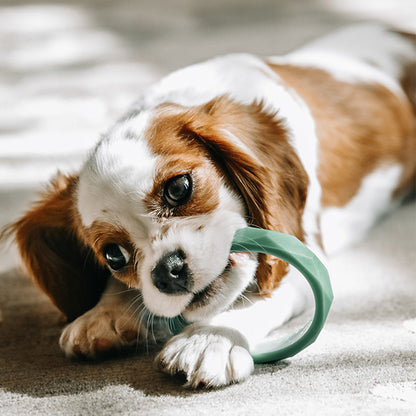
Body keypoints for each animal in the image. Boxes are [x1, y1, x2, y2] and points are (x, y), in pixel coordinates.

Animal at [7, 24, 416, 388]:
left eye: (178, 188)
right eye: (114, 256)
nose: (167, 272)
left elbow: (252, 300)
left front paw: (208, 340)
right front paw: (103, 314)